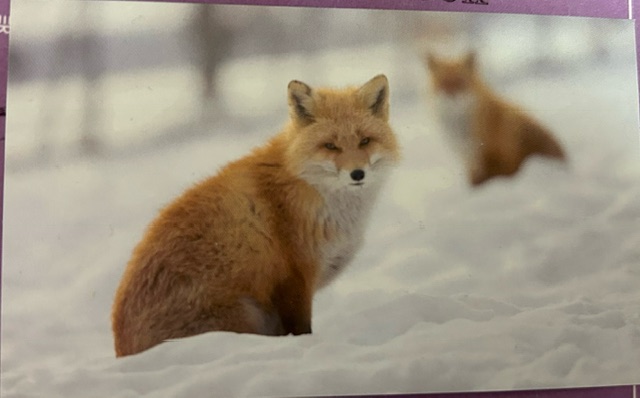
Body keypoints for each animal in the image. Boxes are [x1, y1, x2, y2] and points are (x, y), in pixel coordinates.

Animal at [110, 74, 400, 358]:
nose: (357, 174)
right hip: (246, 314)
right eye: (330, 146)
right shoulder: (294, 278)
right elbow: (301, 330)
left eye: (365, 141)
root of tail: (122, 350)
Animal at [424, 51, 564, 187]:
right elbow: (473, 179)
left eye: (460, 82)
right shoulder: (467, 156)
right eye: (443, 83)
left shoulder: (495, 155)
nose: (451, 95)